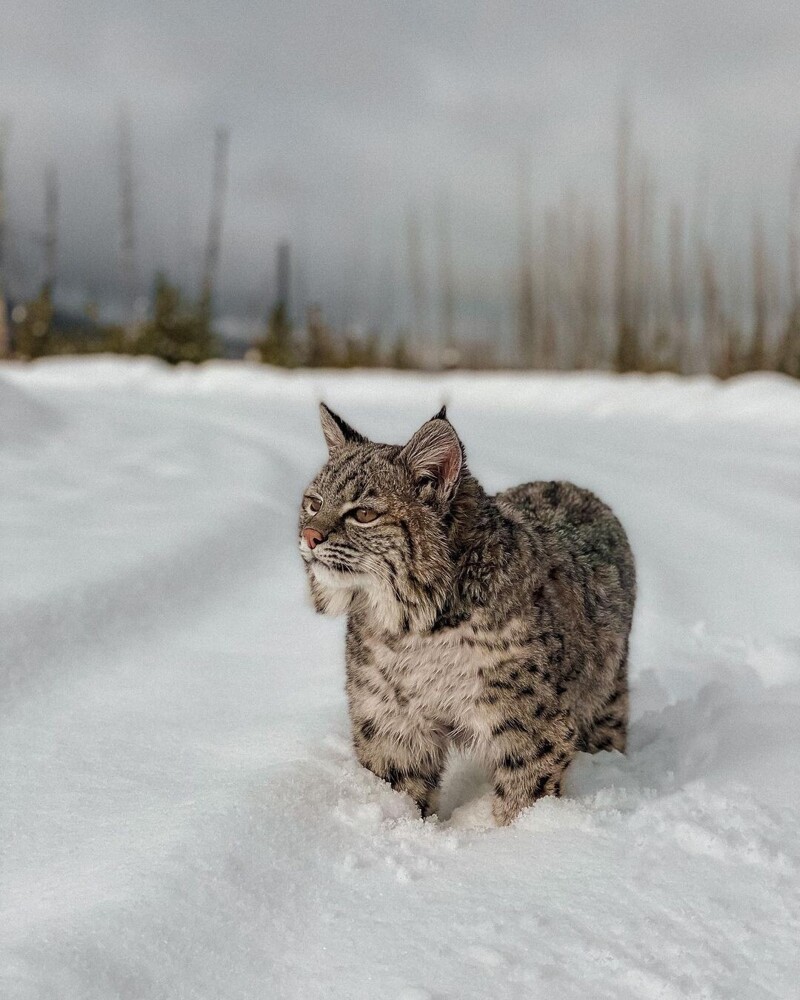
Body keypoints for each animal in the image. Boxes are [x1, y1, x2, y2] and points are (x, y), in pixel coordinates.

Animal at [296, 402, 636, 824]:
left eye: (363, 515)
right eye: (314, 503)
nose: (309, 537)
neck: (417, 628)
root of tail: (570, 486)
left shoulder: (529, 724)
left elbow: (522, 796)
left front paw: (516, 835)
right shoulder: (390, 718)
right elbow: (401, 789)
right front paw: (405, 827)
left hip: (605, 690)